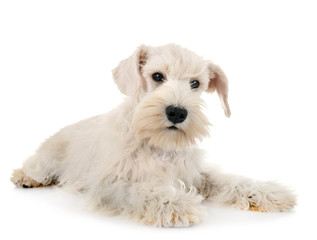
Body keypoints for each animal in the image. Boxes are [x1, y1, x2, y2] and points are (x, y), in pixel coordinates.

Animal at [11, 43, 296, 227]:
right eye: (157, 76)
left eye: (195, 83)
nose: (177, 112)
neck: (159, 144)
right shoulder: (109, 184)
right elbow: (140, 189)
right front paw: (178, 204)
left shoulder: (196, 174)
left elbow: (230, 180)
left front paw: (269, 192)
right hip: (49, 157)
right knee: (35, 165)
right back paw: (25, 177)